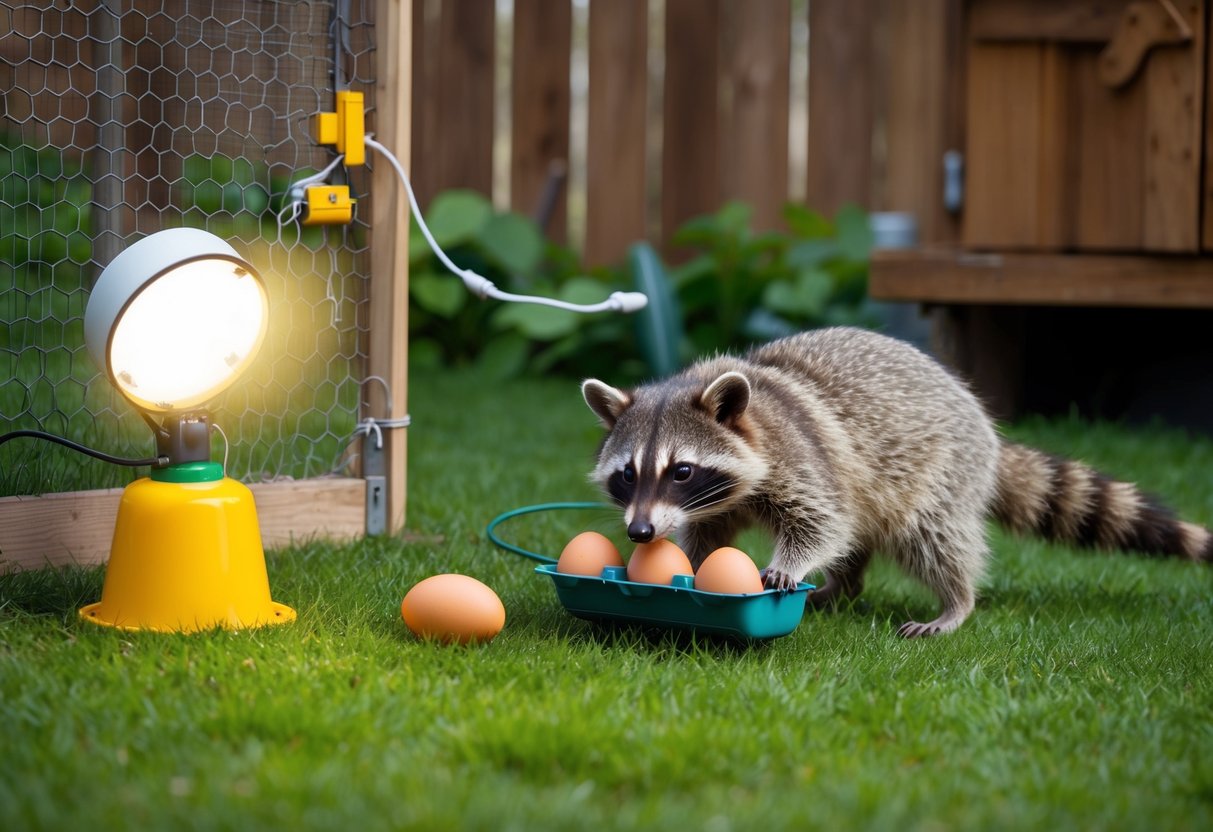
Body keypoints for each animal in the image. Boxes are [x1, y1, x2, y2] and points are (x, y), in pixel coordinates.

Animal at [581, 327, 1212, 637]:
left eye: (682, 471)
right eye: (627, 475)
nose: (640, 533)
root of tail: (987, 432)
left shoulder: (799, 455)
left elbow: (822, 520)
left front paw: (790, 562)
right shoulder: (714, 502)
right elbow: (711, 537)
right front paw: (684, 565)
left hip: (941, 468)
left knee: (930, 536)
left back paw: (956, 601)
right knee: (863, 534)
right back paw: (844, 586)